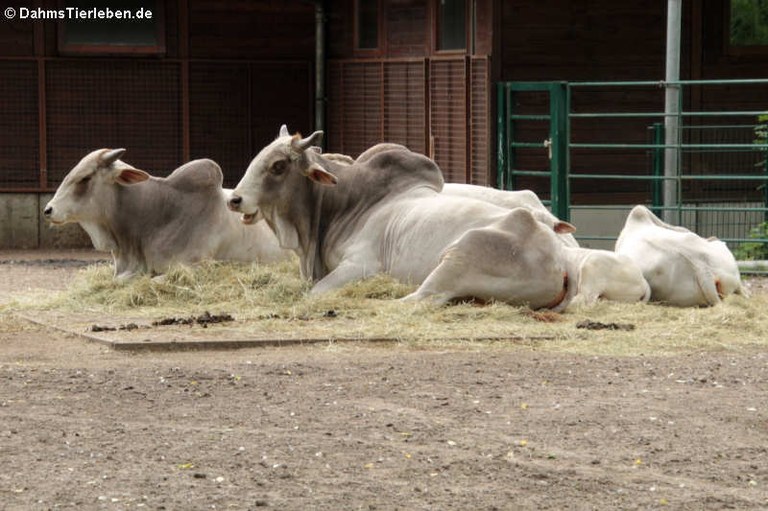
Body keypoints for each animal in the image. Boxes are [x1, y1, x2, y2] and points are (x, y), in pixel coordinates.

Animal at [231, 127, 580, 312]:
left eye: (278, 165)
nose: (235, 199)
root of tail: (563, 260)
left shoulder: (361, 265)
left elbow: (315, 293)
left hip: (459, 254)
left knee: (421, 298)